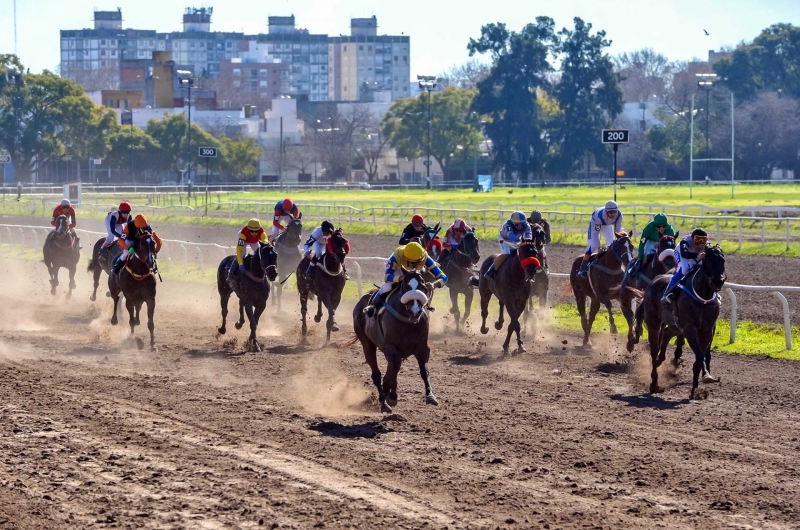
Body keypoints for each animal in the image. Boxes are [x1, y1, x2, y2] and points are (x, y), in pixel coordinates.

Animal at [352, 268, 438, 412]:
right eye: (404, 287)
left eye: (424, 288)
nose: (415, 311)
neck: (408, 322)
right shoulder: (391, 348)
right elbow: (394, 369)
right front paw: (390, 397)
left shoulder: (422, 347)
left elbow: (423, 371)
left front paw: (430, 396)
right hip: (367, 343)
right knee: (376, 374)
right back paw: (384, 401)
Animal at [636, 243, 728, 396]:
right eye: (708, 259)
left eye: (722, 260)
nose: (718, 281)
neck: (703, 297)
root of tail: (652, 282)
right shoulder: (690, 328)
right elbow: (699, 356)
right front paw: (695, 389)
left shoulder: (707, 329)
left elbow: (703, 355)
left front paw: (701, 383)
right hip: (654, 321)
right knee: (654, 349)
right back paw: (654, 383)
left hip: (675, 324)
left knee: (667, 333)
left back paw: (661, 360)